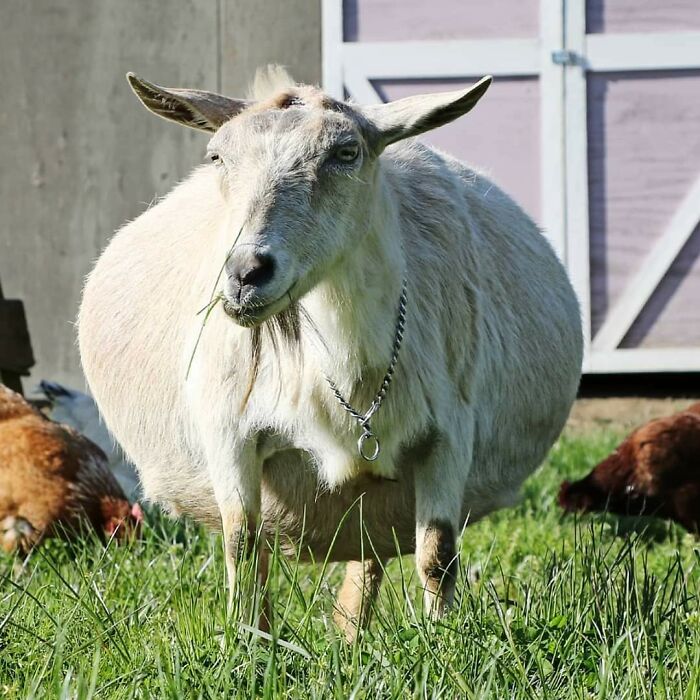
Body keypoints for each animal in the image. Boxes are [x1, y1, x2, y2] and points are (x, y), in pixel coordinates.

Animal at [78, 67, 582, 639]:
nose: (245, 274)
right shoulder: (228, 432)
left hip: (380, 495)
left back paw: (350, 634)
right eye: (217, 157)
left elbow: (438, 553)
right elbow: (241, 545)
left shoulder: (450, 436)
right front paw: (247, 644)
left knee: (371, 552)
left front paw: (441, 639)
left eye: (346, 152)